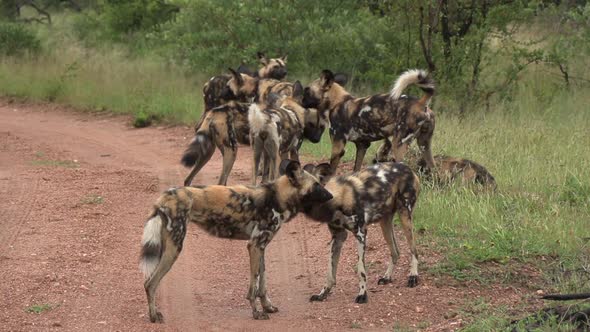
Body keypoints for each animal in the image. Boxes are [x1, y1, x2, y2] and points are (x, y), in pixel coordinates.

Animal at [141, 160, 336, 322]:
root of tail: (166, 195)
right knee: (150, 283)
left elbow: (262, 284)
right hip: (175, 247)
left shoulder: (261, 246)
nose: (331, 196)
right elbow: (253, 287)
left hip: (166, 246)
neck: (278, 198)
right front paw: (257, 313)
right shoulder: (254, 246)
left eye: (321, 183)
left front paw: (268, 307)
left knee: (149, 282)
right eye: (316, 186)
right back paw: (153, 317)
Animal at [302, 69, 438, 175]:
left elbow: (331, 171)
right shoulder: (362, 145)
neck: (336, 102)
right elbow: (356, 169)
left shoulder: (337, 146)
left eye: (307, 91)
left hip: (398, 145)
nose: (301, 101)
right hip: (424, 144)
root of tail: (421, 103)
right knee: (433, 168)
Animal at [302, 161, 424, 304]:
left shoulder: (360, 233)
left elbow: (360, 269)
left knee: (414, 250)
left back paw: (413, 276)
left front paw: (362, 294)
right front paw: (322, 294)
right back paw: (387, 277)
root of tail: (407, 168)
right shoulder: (338, 237)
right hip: (385, 223)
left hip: (405, 216)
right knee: (396, 252)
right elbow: (329, 271)